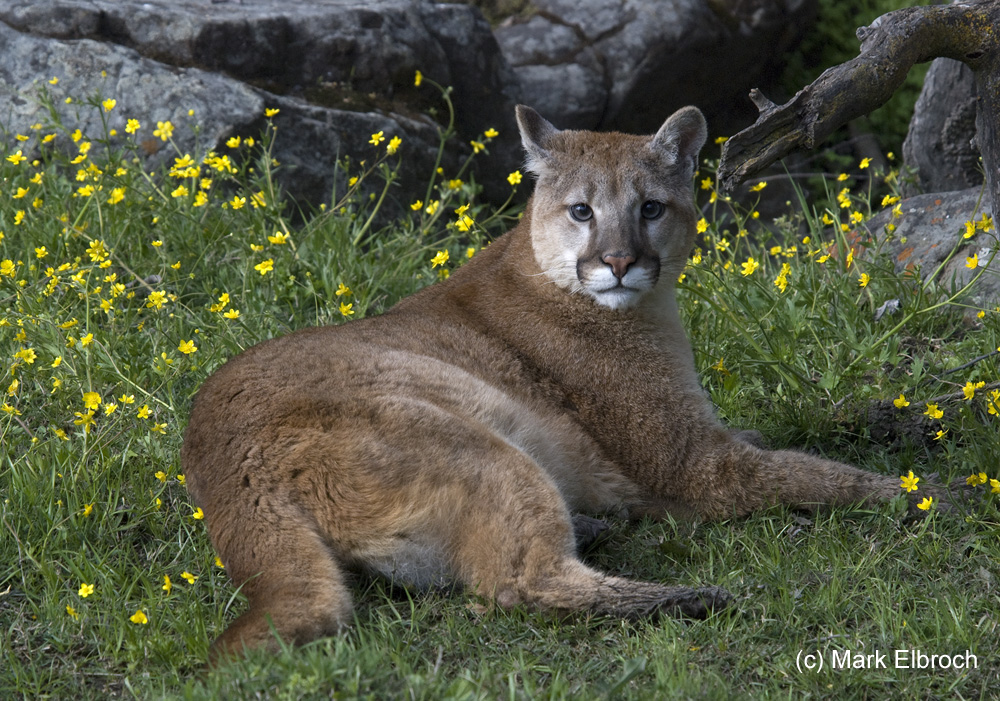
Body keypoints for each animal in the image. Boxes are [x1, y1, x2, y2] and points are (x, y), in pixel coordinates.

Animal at [186, 104, 916, 660]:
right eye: (582, 211)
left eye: (651, 208)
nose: (619, 262)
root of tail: (222, 467)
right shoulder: (695, 462)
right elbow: (817, 473)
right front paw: (922, 494)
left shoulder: (705, 436)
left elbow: (788, 441)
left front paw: (884, 432)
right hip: (477, 446)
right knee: (520, 586)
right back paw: (686, 596)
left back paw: (601, 527)